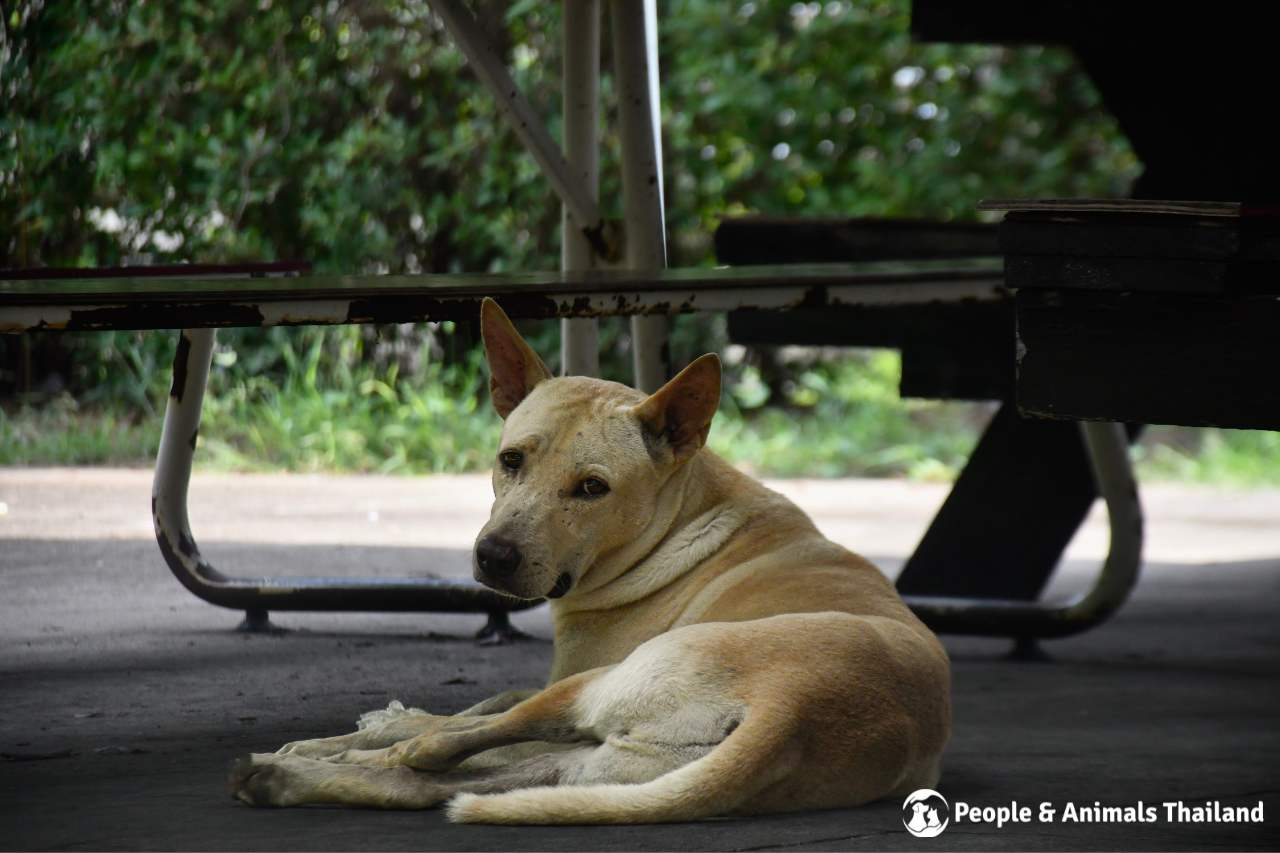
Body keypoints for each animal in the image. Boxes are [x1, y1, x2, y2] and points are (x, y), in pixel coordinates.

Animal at [230, 300, 952, 824]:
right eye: (510, 459)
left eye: (592, 488)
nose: (493, 557)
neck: (679, 515)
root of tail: (793, 709)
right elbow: (483, 704)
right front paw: (335, 740)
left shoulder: (569, 673)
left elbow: (475, 710)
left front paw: (381, 725)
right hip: (594, 766)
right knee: (436, 780)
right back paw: (287, 776)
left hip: (598, 688)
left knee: (444, 751)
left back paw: (346, 755)